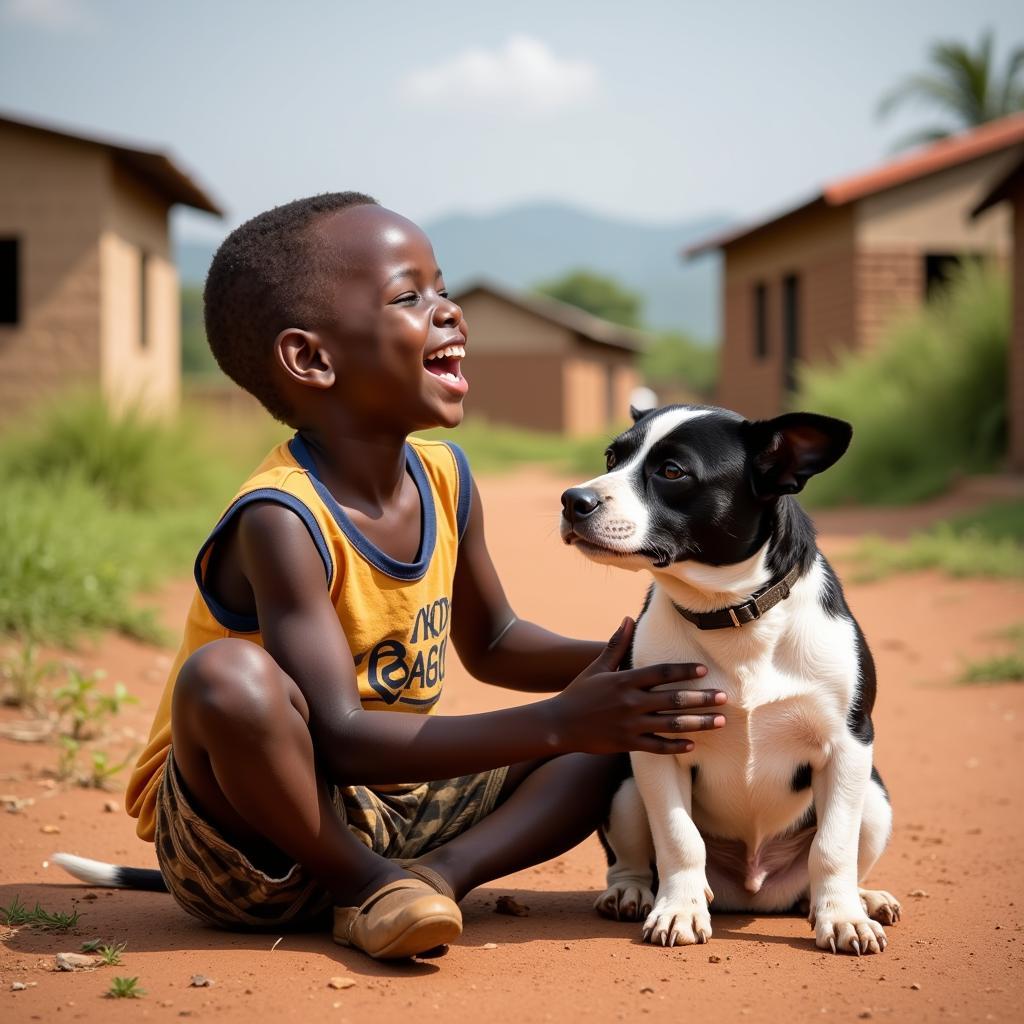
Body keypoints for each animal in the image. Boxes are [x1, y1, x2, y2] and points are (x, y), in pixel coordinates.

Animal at [561, 403, 905, 954]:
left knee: (838, 859)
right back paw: (633, 893)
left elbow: (833, 847)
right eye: (612, 458)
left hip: (873, 797)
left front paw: (844, 918)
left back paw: (858, 898)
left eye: (672, 471)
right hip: (624, 789)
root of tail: (753, 890)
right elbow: (679, 837)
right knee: (632, 861)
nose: (574, 499)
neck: (731, 615)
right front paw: (679, 910)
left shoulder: (849, 745)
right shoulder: (656, 743)